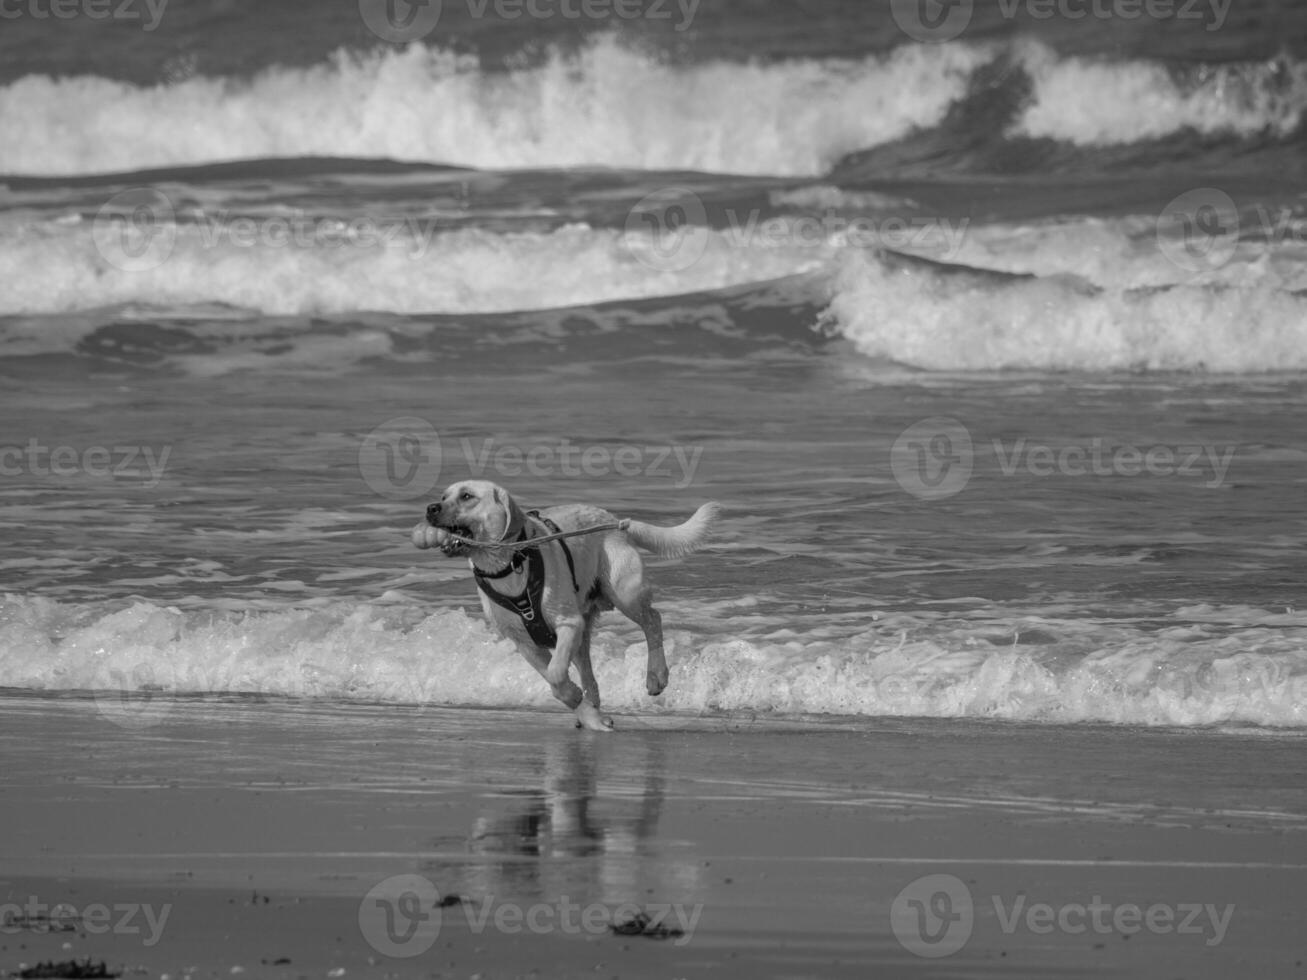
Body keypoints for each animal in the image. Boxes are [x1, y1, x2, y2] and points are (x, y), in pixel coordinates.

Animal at [413, 480, 721, 731]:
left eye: (467, 496)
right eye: (443, 496)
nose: (430, 507)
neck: (508, 566)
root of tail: (614, 521)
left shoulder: (568, 624)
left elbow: (556, 674)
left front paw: (574, 697)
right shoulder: (524, 642)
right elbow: (553, 676)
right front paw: (588, 713)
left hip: (625, 592)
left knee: (653, 619)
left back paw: (656, 676)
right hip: (585, 629)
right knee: (589, 672)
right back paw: (593, 709)